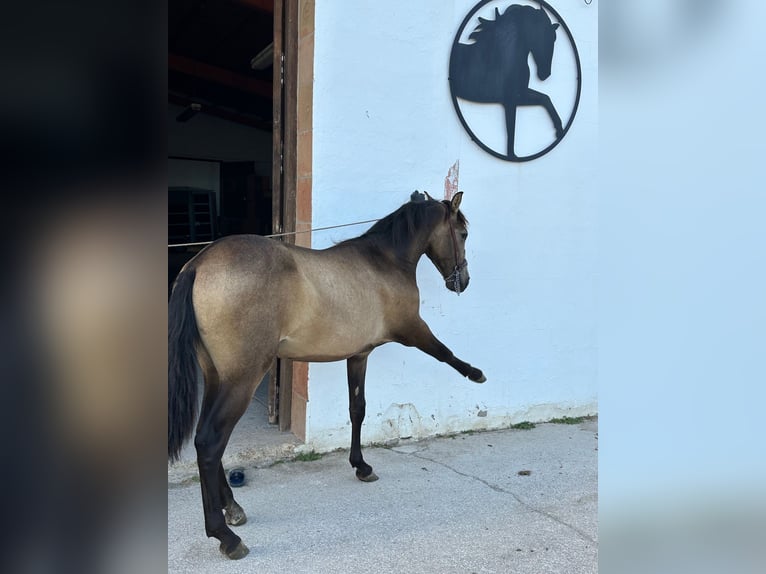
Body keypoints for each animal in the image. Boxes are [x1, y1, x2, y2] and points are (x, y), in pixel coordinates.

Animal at [171, 192, 488, 560]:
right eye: (463, 233)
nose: (462, 281)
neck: (384, 262)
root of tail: (199, 264)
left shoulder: (359, 355)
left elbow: (357, 410)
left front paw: (361, 466)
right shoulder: (412, 329)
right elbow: (445, 352)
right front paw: (475, 374)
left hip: (216, 377)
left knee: (207, 440)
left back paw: (232, 508)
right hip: (241, 379)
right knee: (210, 441)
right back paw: (225, 535)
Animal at [450, 3, 564, 160]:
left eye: (554, 38)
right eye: (542, 35)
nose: (545, 74)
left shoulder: (520, 94)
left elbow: (545, 98)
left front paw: (559, 129)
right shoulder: (510, 99)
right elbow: (511, 129)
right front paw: (512, 155)